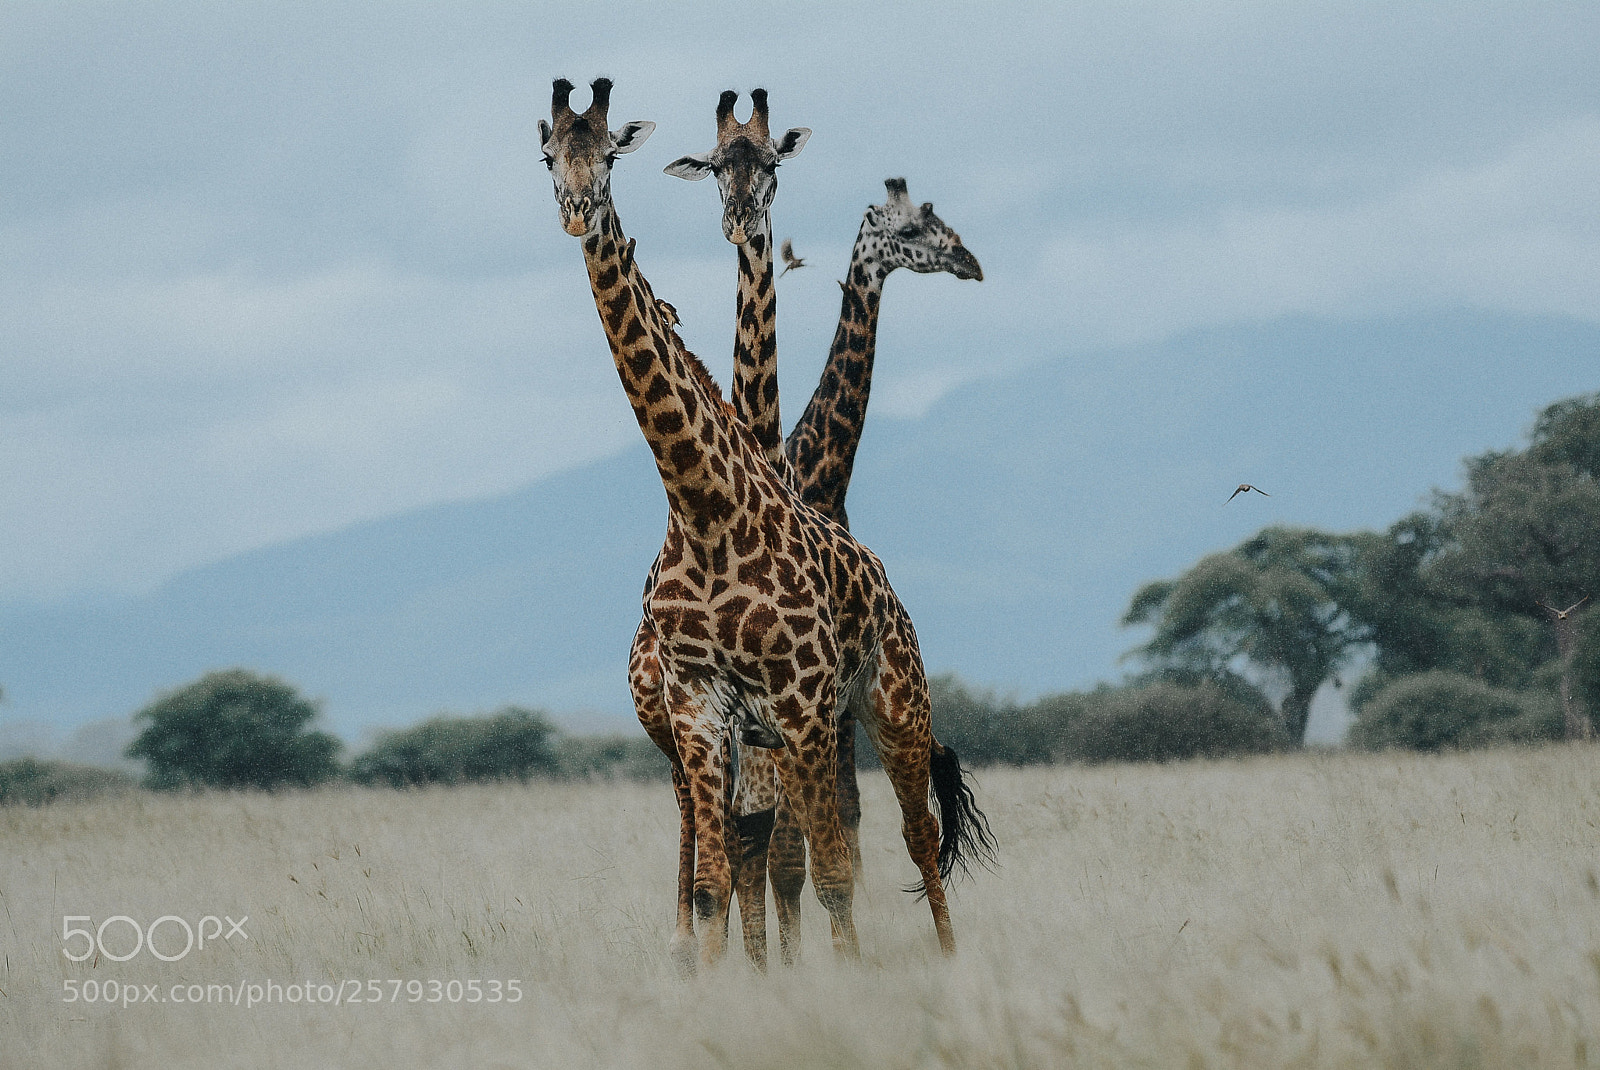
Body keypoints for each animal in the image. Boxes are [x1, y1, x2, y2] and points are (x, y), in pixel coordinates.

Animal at [540, 78, 992, 969]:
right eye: (547, 156)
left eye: (609, 154)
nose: (576, 210)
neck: (705, 505)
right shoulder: (704, 713)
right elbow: (725, 878)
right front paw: (742, 977)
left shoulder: (804, 708)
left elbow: (824, 867)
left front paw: (832, 976)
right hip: (710, 739)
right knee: (717, 845)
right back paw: (696, 952)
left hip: (894, 701)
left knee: (916, 835)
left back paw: (951, 957)